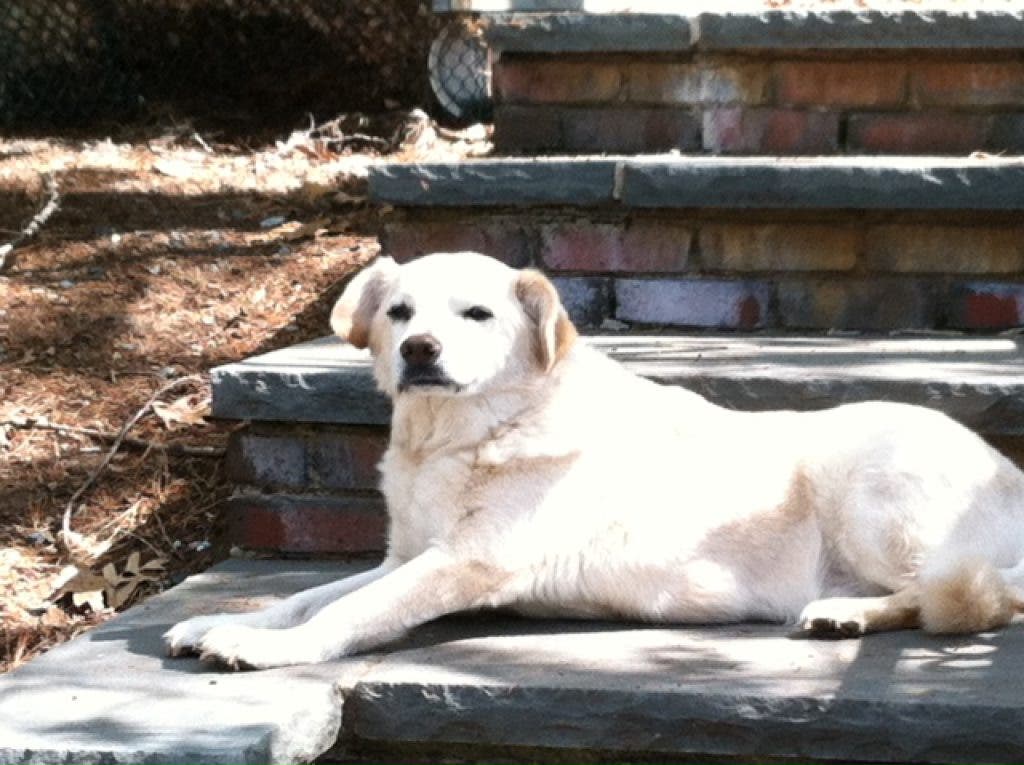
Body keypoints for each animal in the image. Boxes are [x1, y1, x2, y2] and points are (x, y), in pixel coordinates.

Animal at [165, 251, 1024, 669]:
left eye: (477, 313)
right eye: (400, 312)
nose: (419, 349)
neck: (459, 437)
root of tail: (1008, 469)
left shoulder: (461, 562)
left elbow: (343, 612)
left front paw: (267, 649)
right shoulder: (405, 557)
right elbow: (305, 596)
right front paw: (221, 620)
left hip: (868, 486)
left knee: (970, 594)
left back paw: (851, 612)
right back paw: (846, 611)